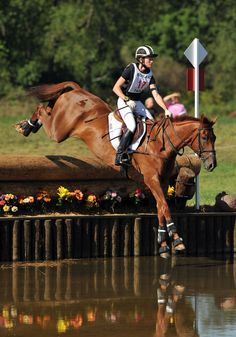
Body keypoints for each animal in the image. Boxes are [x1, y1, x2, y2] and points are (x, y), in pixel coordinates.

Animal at [15, 80, 218, 258]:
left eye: (214, 138)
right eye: (205, 137)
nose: (212, 165)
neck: (161, 144)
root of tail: (78, 90)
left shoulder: (162, 180)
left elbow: (160, 207)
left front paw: (163, 243)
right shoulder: (151, 178)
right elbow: (165, 206)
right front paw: (177, 239)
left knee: (50, 105)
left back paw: (28, 125)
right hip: (59, 132)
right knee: (42, 110)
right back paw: (26, 126)